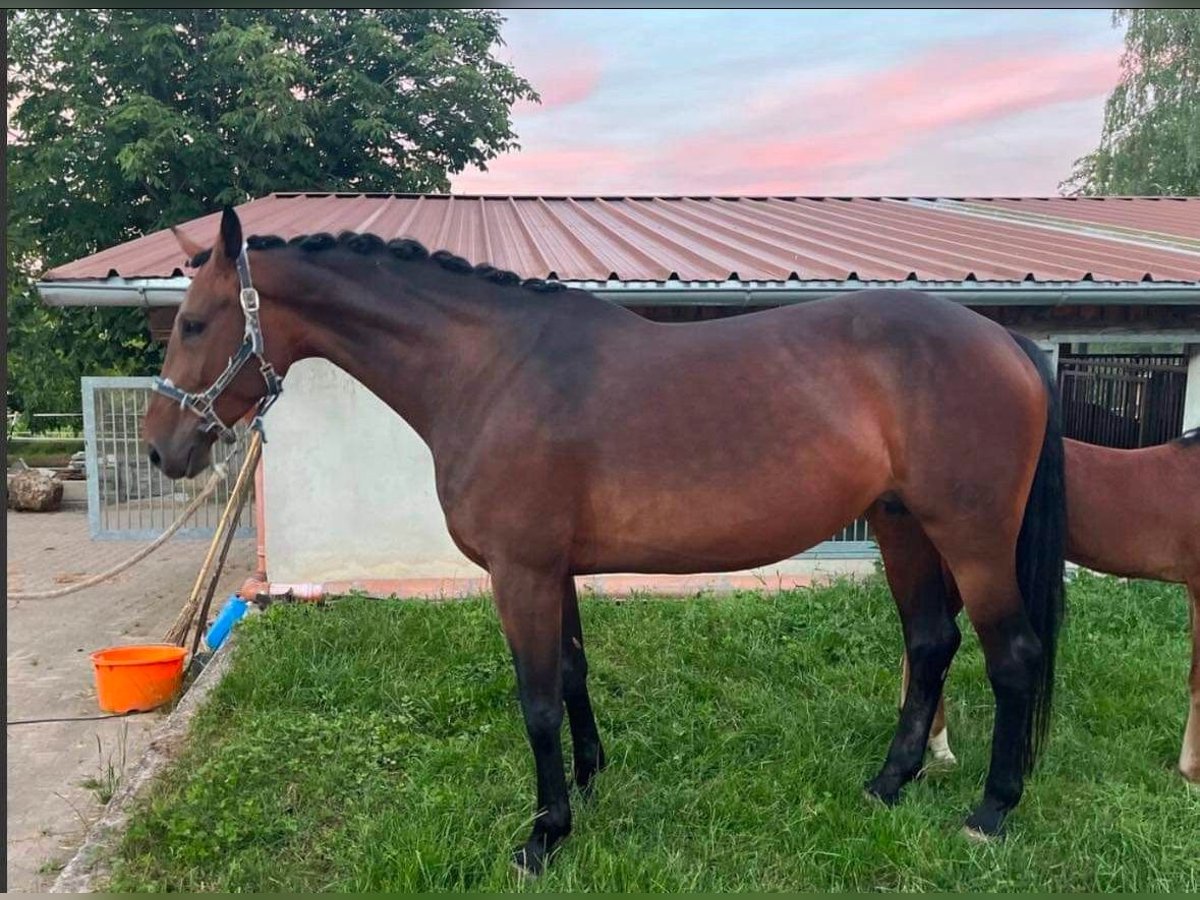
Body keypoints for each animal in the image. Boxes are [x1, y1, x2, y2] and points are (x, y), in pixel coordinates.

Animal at [142, 206, 1070, 873]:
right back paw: (886, 784)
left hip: (971, 537)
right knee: (931, 641)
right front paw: (588, 788)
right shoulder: (554, 570)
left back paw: (991, 811)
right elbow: (572, 673)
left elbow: (536, 698)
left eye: (193, 324)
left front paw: (543, 834)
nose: (160, 448)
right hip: (902, 525)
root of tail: (1006, 340)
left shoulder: (519, 572)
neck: (492, 371)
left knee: (1012, 655)